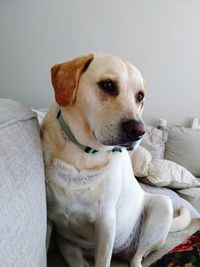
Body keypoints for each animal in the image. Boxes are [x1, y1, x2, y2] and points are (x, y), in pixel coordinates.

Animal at [41, 52, 191, 267]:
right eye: (108, 85)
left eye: (139, 96)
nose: (139, 131)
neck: (83, 154)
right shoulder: (47, 220)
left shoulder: (106, 224)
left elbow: (103, 260)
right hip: (69, 249)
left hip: (162, 206)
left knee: (138, 257)